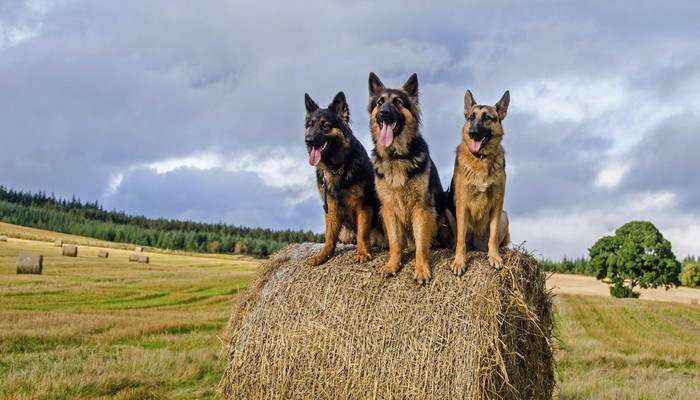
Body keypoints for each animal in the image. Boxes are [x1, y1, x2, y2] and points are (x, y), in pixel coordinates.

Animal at [304, 90, 382, 266]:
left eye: (325, 125)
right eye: (310, 124)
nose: (308, 141)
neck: (336, 168)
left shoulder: (364, 204)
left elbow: (362, 231)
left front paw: (363, 253)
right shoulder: (331, 205)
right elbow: (330, 235)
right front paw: (324, 255)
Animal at [366, 72, 454, 284]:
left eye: (398, 102)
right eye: (380, 102)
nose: (384, 112)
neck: (397, 156)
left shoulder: (421, 207)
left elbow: (421, 243)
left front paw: (421, 269)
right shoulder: (388, 207)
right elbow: (395, 242)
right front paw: (392, 264)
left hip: (447, 206)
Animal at [448, 89, 516, 274]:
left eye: (487, 118)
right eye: (471, 117)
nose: (473, 133)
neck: (481, 159)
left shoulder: (497, 203)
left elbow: (493, 237)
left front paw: (494, 257)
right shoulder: (462, 204)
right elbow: (461, 239)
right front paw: (459, 261)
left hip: (504, 215)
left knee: (500, 240)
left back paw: (503, 249)